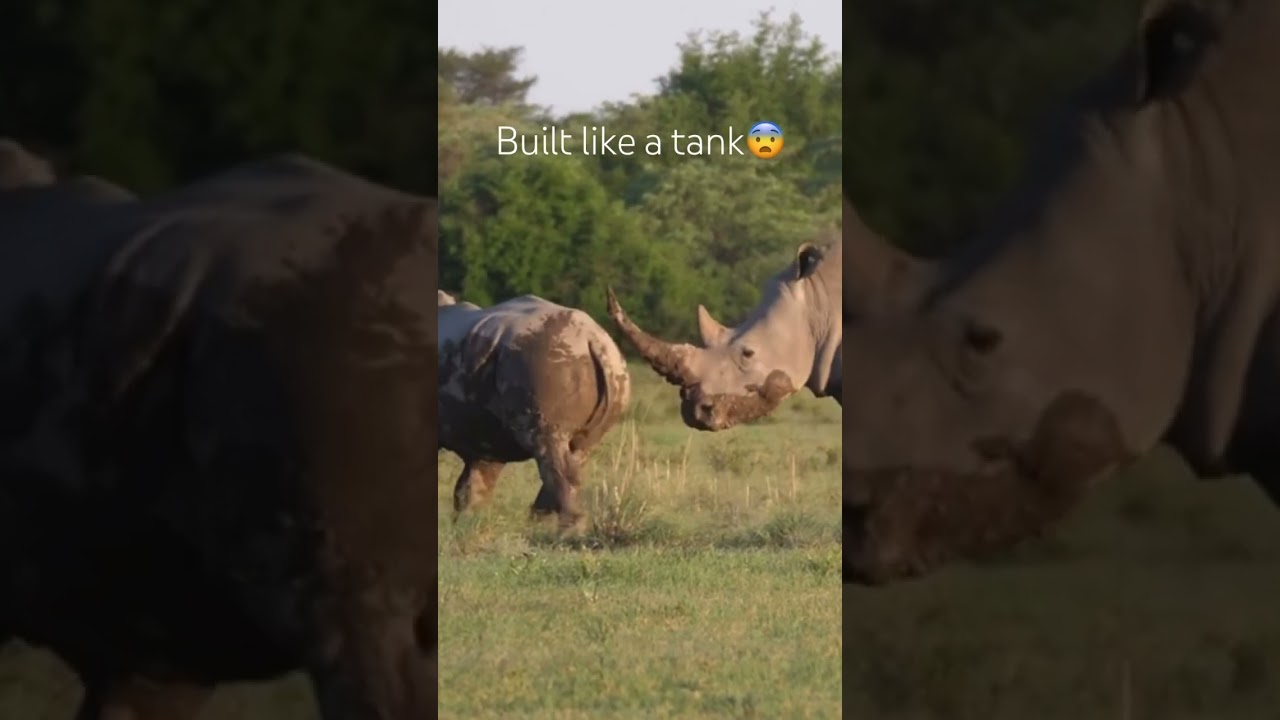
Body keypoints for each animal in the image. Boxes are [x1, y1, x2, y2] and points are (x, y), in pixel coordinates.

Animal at [439, 293, 631, 529]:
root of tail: (594, 339)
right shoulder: (484, 436)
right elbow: (474, 482)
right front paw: (467, 525)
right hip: (612, 374)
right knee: (579, 449)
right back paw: (540, 524)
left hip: (544, 361)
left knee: (549, 444)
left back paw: (563, 529)